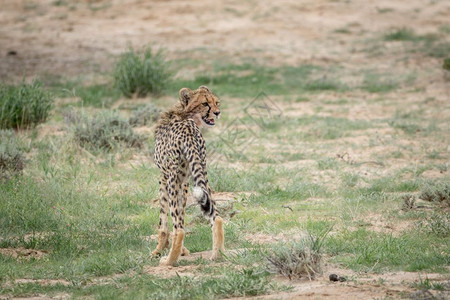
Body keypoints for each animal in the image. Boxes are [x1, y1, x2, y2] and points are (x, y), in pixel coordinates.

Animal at [152, 85, 225, 266]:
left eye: (216, 102)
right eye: (205, 103)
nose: (218, 112)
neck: (183, 114)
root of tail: (190, 131)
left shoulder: (164, 176)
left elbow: (164, 218)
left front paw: (159, 250)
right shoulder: (184, 180)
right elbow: (181, 212)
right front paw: (182, 251)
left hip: (172, 179)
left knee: (179, 229)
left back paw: (168, 261)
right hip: (203, 172)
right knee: (216, 217)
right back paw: (218, 255)